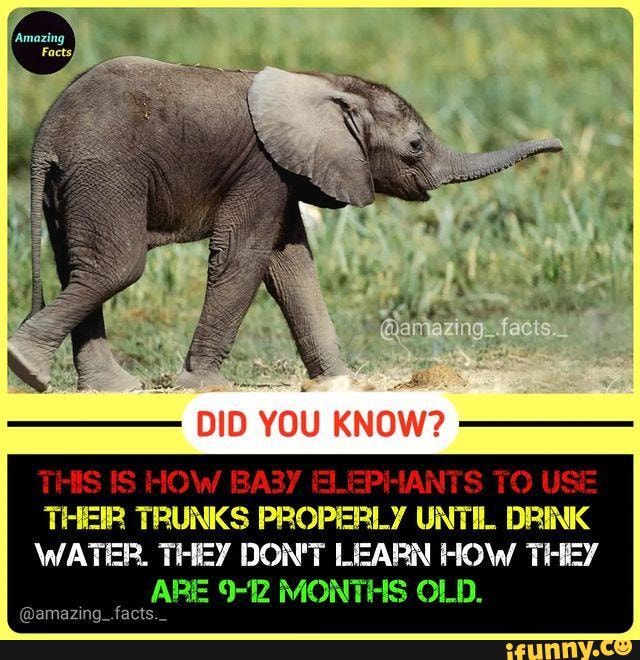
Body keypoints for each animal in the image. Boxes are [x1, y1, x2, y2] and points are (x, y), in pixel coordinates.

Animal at [8, 56, 563, 392]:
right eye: (415, 146)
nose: (558, 145)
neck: (322, 82)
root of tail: (46, 135)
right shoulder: (262, 167)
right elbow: (243, 255)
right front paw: (208, 388)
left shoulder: (288, 172)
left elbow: (292, 265)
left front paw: (341, 385)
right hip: (106, 172)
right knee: (117, 268)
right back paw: (26, 366)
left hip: (77, 186)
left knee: (79, 269)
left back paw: (109, 387)